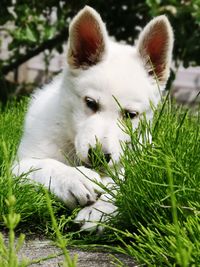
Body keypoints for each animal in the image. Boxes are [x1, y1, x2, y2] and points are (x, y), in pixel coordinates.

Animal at [13, 6, 173, 232]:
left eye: (130, 115)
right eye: (90, 103)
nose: (99, 156)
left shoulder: (137, 164)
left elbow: (123, 182)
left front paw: (100, 210)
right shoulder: (18, 167)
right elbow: (45, 165)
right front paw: (74, 178)